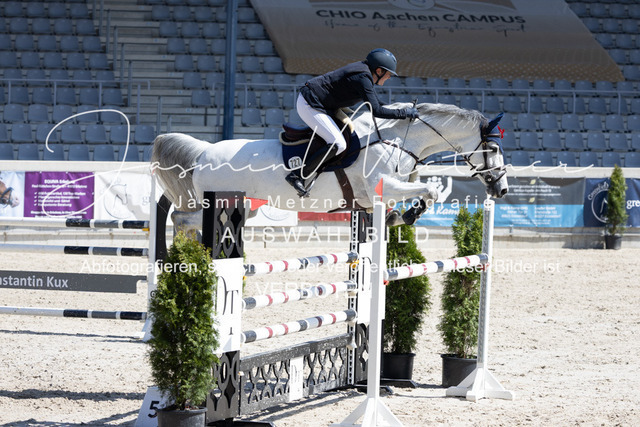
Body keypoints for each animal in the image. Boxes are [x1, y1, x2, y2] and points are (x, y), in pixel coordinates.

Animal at [151, 102, 508, 226]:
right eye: (492, 147)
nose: (502, 189)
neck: (397, 139)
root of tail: (204, 152)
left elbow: (421, 193)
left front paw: (396, 217)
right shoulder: (384, 187)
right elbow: (430, 191)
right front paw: (406, 215)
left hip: (245, 206)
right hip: (217, 201)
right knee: (182, 219)